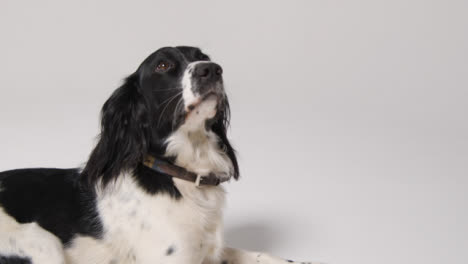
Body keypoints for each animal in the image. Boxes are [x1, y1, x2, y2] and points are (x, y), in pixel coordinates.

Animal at [0, 47, 316, 264]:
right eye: (163, 65)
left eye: (203, 56)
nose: (212, 69)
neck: (181, 176)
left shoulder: (210, 251)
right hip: (42, 243)